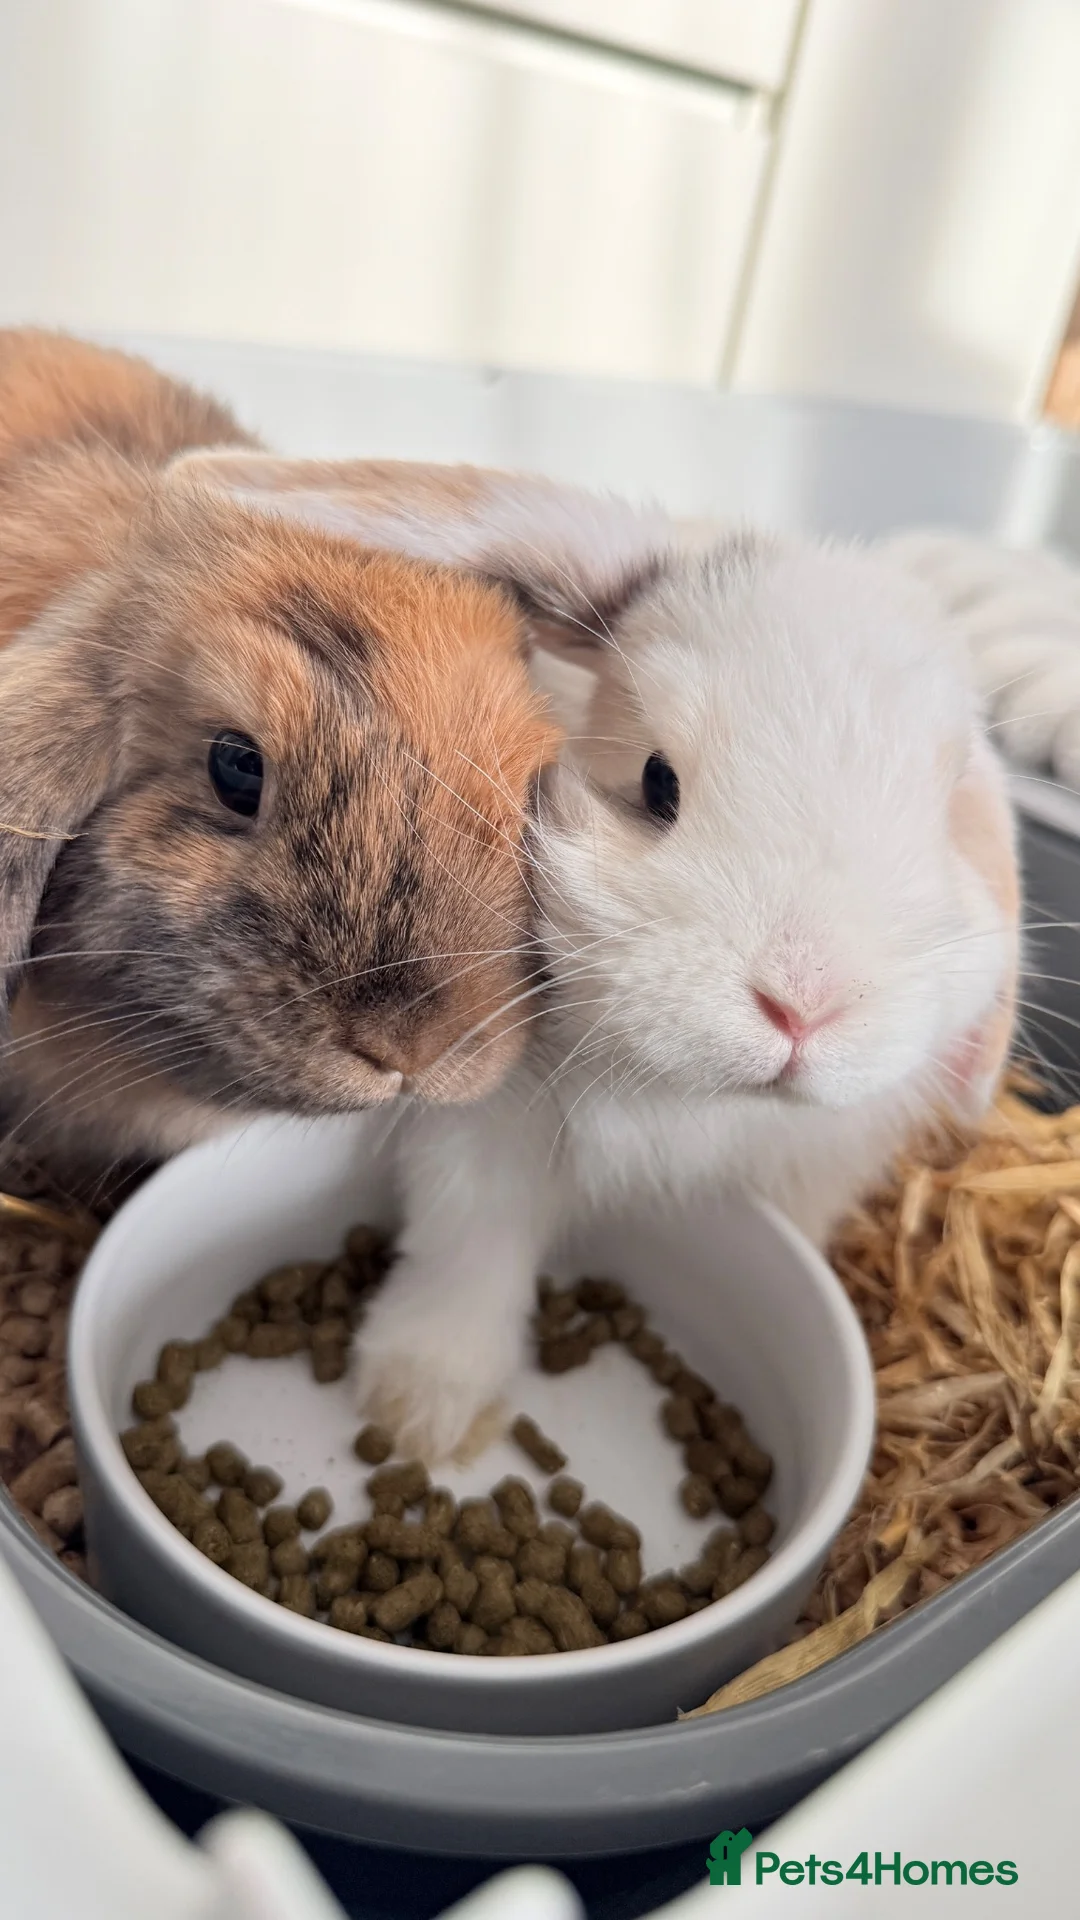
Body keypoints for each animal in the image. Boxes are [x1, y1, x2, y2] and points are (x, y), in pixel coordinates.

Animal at [182, 458, 1019, 1463]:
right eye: (658, 782)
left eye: (942, 819)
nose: (804, 1005)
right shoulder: (486, 1133)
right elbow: (470, 1250)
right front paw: (422, 1408)